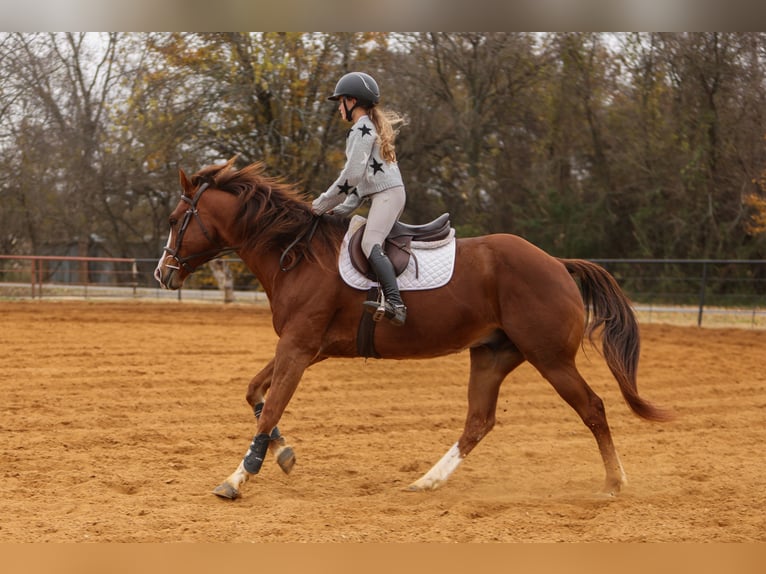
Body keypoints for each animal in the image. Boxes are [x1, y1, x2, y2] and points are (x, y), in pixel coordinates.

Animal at [154, 157, 671, 500]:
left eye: (176, 220)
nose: (162, 273)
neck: (295, 253)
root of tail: (557, 264)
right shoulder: (306, 348)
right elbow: (256, 394)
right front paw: (282, 455)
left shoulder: (300, 348)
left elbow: (270, 405)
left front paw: (238, 477)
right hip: (493, 354)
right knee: (479, 421)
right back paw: (427, 480)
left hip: (549, 357)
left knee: (593, 408)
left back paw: (614, 482)